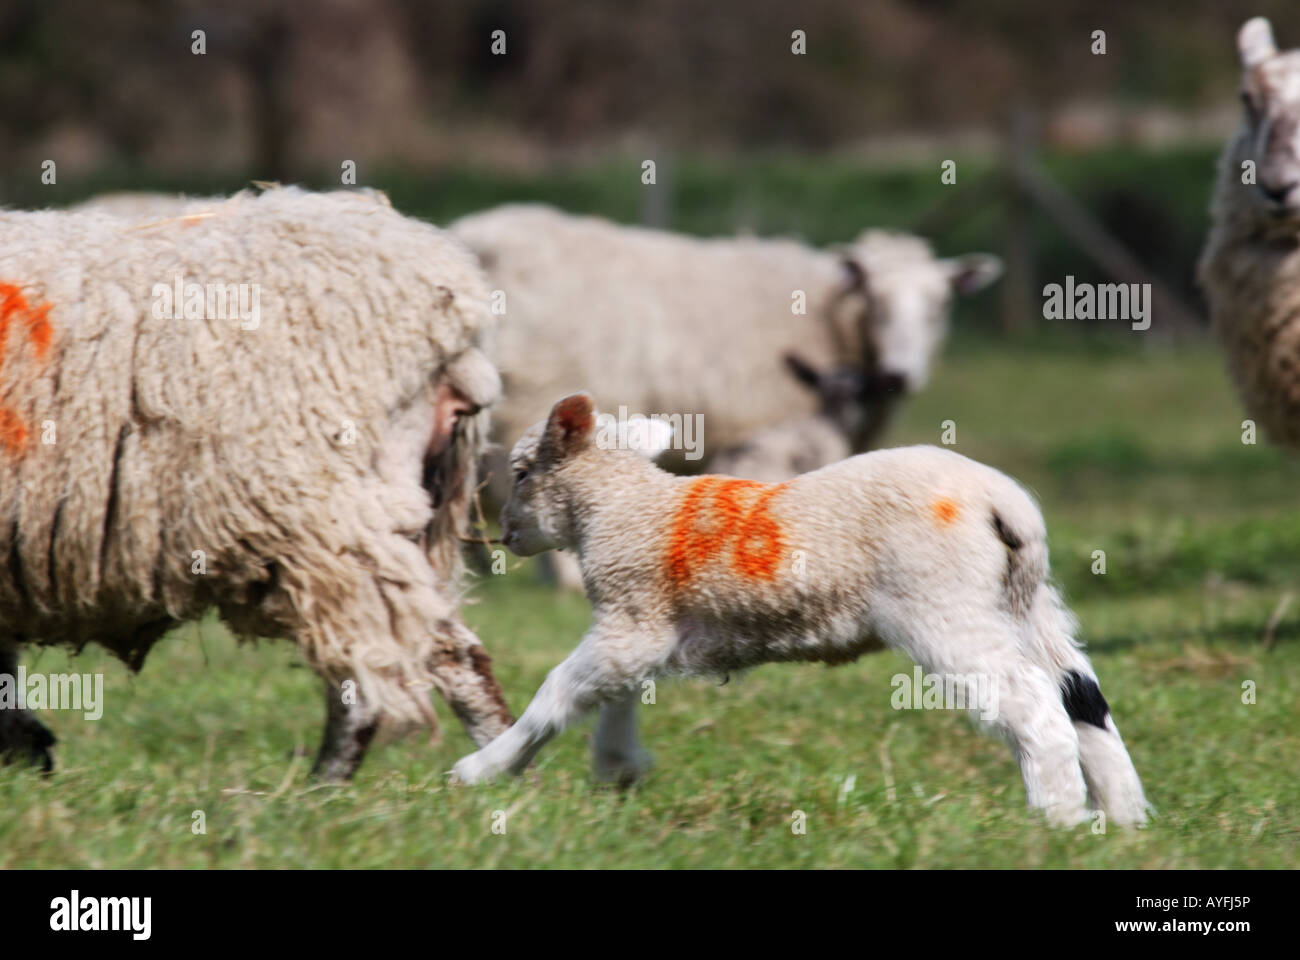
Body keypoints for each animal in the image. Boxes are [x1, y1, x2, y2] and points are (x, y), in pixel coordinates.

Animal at [451, 393, 1150, 828]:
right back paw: (1122, 821)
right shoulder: (643, 627)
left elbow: (557, 692)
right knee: (1084, 699)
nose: (504, 534)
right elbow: (616, 693)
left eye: (521, 471)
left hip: (946, 607)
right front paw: (618, 769)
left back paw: (1057, 820)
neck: (624, 507)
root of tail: (1005, 503)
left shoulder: (631, 617)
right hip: (1028, 604)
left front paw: (483, 770)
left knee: (1035, 707)